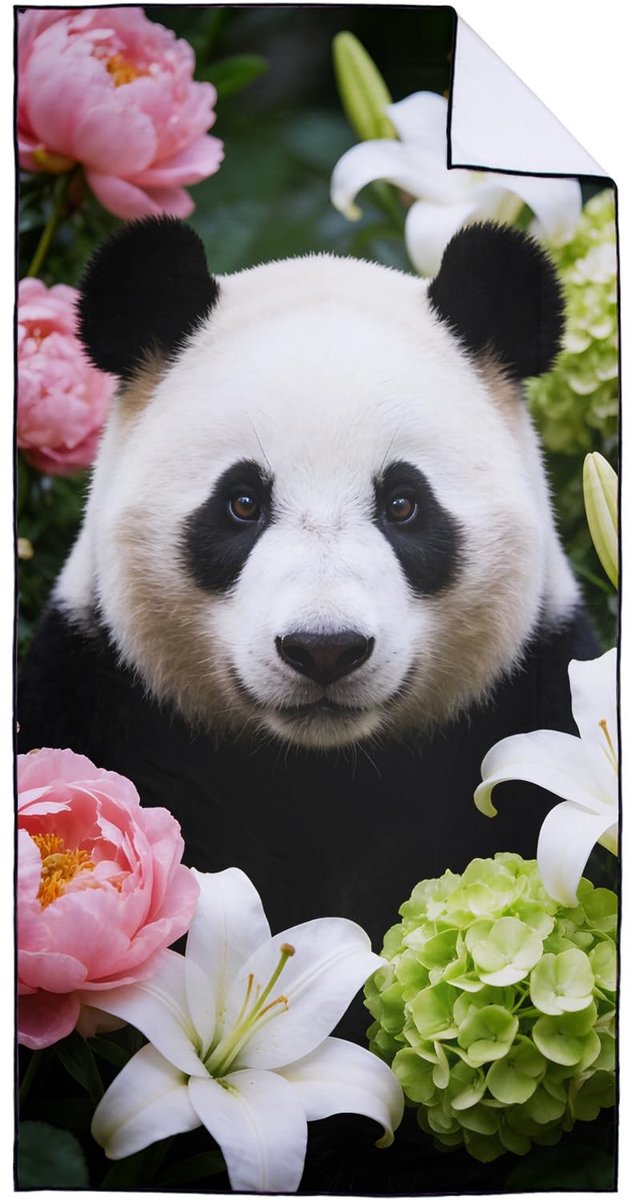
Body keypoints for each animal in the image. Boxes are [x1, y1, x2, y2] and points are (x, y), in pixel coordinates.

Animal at [18, 216, 599, 1193]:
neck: (318, 772)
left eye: (402, 504)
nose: (324, 648)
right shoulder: (99, 701)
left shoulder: (521, 704)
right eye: (242, 502)